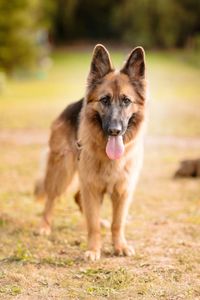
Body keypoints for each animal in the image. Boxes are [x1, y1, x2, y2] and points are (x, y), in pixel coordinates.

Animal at [34, 44, 147, 260]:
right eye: (104, 100)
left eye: (126, 101)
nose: (114, 130)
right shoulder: (92, 187)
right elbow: (92, 223)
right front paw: (94, 250)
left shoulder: (122, 191)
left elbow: (117, 223)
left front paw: (119, 246)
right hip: (63, 172)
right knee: (51, 198)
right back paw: (44, 226)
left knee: (78, 198)